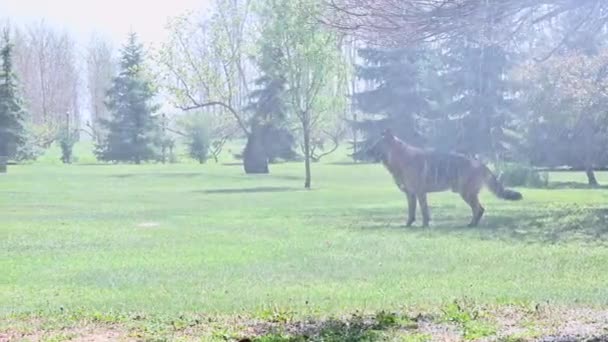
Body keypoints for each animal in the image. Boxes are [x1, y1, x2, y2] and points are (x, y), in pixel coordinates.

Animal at [368, 130, 520, 228]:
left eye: (376, 145)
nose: (366, 151)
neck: (400, 158)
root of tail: (480, 163)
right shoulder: (411, 194)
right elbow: (411, 212)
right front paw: (408, 225)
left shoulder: (420, 193)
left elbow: (424, 211)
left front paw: (425, 225)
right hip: (467, 194)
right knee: (479, 209)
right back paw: (472, 224)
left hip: (466, 194)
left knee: (479, 209)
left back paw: (472, 225)